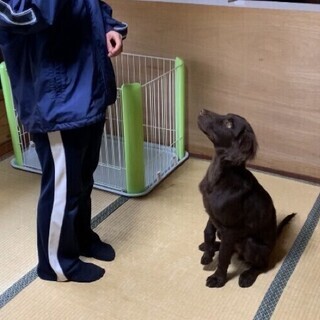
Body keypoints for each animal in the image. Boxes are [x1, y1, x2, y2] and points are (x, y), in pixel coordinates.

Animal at [196, 109, 296, 288]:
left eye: (229, 124)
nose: (202, 111)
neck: (219, 176)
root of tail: (274, 244)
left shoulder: (230, 229)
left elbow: (224, 257)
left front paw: (218, 279)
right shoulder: (212, 215)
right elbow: (208, 232)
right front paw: (208, 252)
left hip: (251, 244)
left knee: (262, 264)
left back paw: (248, 276)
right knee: (230, 248)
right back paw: (214, 246)